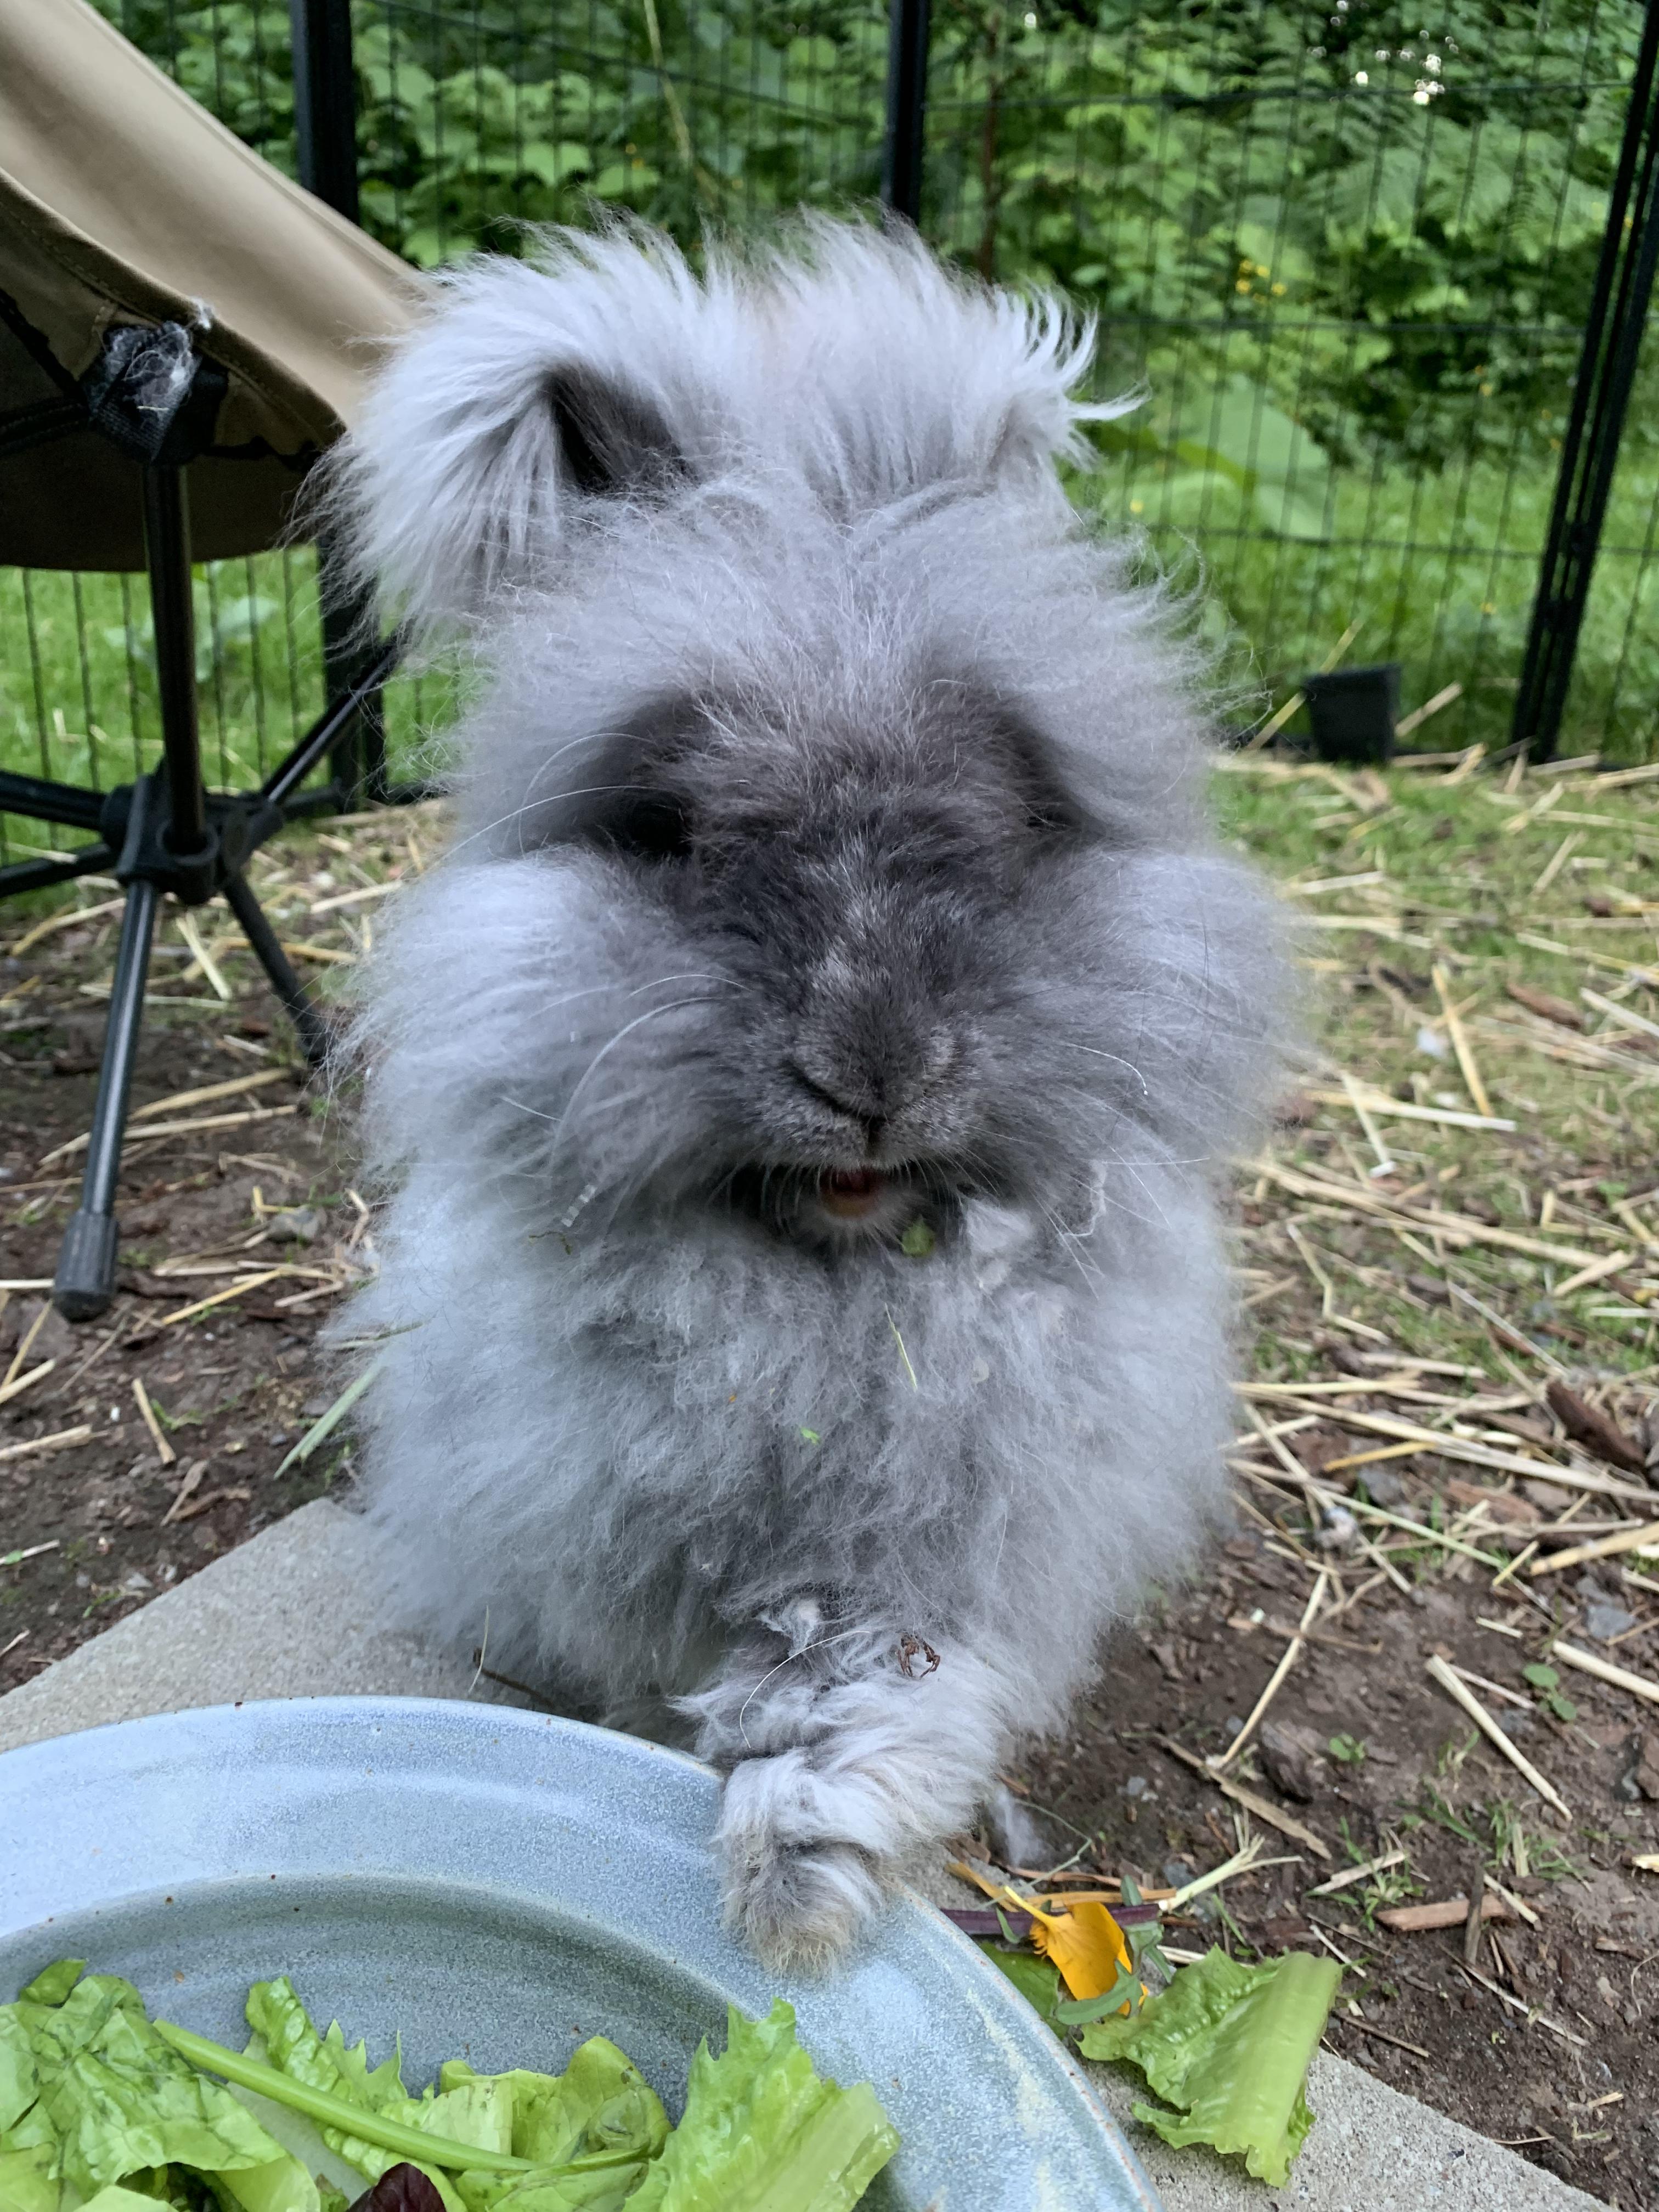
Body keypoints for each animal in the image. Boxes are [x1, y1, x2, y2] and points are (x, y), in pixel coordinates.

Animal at [323, 216, 1284, 1970]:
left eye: (1006, 821)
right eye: (669, 829)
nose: (873, 1077)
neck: (831, 1290)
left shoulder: (960, 1544)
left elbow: (870, 1679)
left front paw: (800, 1885)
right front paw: (788, 1889)